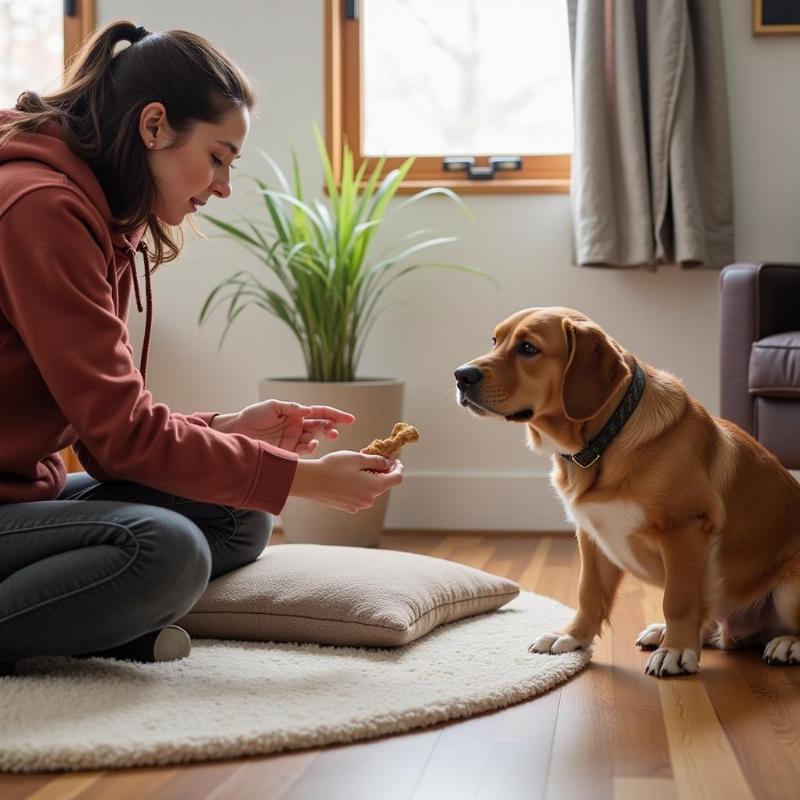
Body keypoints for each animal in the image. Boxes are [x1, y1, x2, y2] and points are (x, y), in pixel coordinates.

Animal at [454, 306, 800, 676]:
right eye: (495, 340)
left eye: (528, 348)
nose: (461, 375)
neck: (603, 441)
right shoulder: (591, 535)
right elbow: (589, 594)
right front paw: (571, 636)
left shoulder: (685, 528)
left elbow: (677, 599)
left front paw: (677, 649)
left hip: (790, 586)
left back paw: (785, 643)